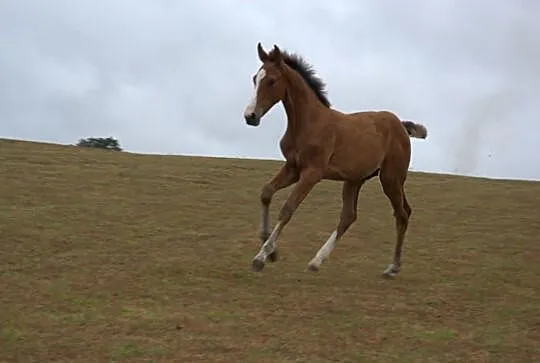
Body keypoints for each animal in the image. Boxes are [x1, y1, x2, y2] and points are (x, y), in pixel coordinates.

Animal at [244, 42, 426, 278]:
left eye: (272, 81)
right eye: (255, 79)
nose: (250, 117)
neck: (309, 123)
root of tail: (401, 126)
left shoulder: (312, 173)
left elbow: (288, 209)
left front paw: (261, 257)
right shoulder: (293, 167)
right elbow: (266, 193)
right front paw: (271, 251)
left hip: (391, 178)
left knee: (401, 214)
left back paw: (392, 268)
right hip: (355, 179)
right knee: (350, 216)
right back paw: (316, 261)